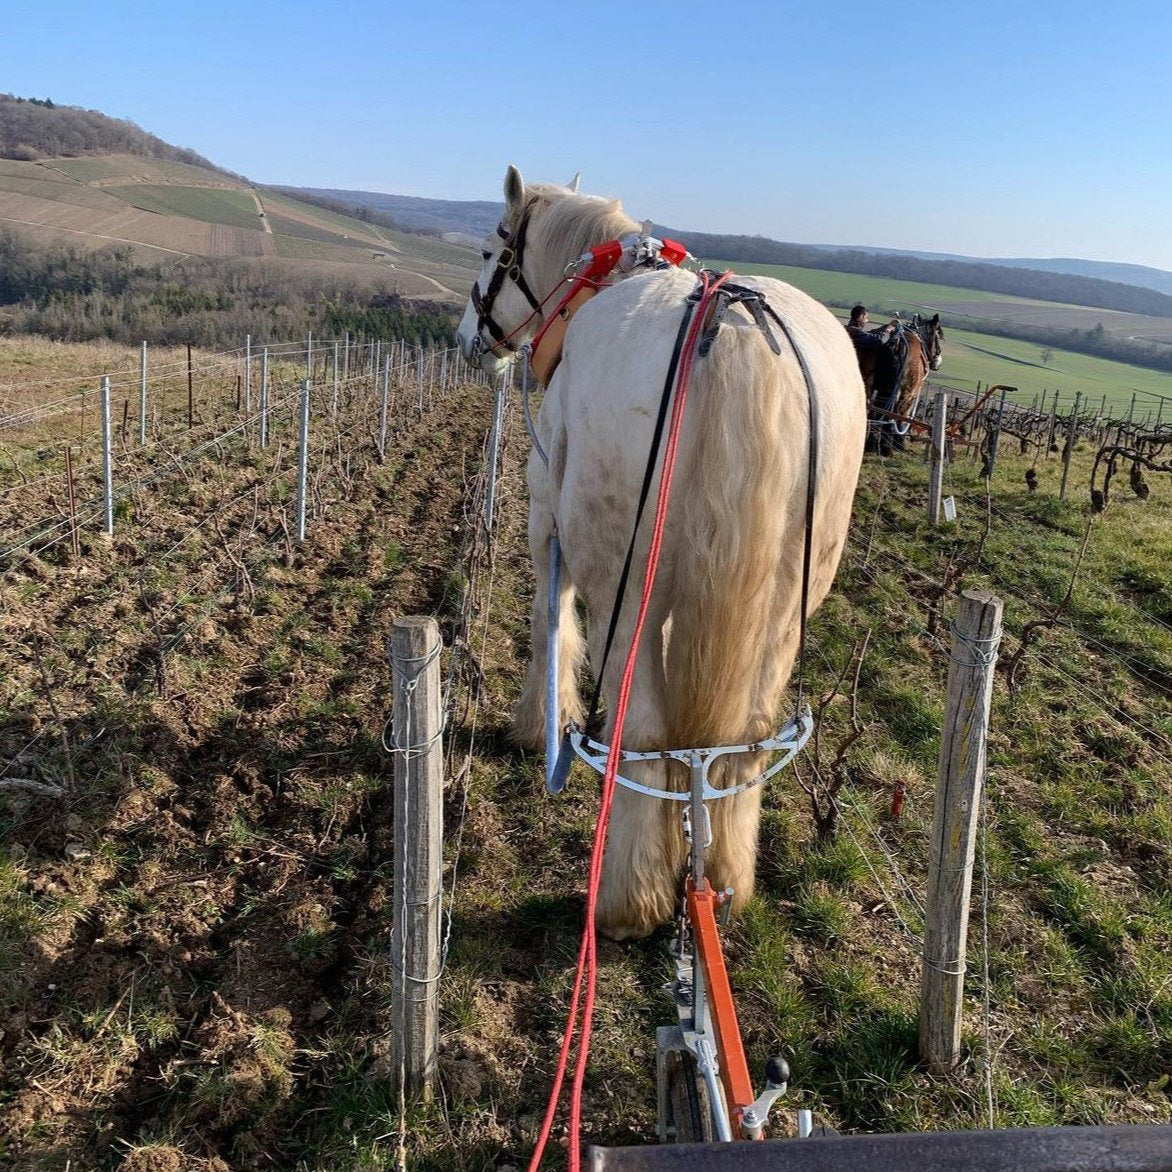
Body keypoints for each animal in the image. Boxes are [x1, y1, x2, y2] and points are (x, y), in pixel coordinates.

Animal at [457, 165, 871, 937]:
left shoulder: (546, 521)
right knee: (744, 738)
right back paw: (723, 878)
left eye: (492, 249)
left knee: (642, 731)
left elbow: (549, 622)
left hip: (624, 586)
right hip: (788, 604)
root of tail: (733, 330)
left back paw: (627, 899)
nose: (469, 337)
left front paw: (536, 727)